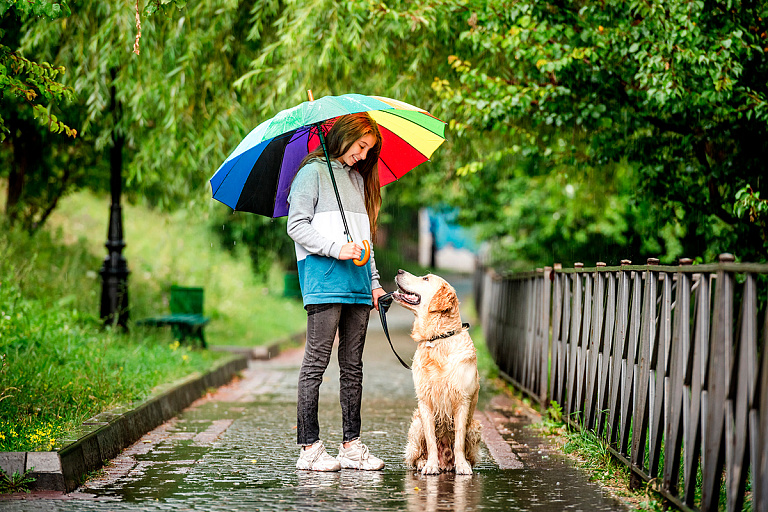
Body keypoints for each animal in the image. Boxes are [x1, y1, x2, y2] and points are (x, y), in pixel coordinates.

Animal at [396, 270, 480, 474]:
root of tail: (446, 464)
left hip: (475, 427)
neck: (438, 338)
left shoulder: (462, 400)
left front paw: (462, 466)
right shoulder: (425, 401)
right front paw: (431, 465)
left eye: (425, 278)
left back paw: (459, 464)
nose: (400, 271)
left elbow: (458, 441)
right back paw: (424, 463)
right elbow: (431, 440)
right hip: (416, 424)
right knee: (415, 456)